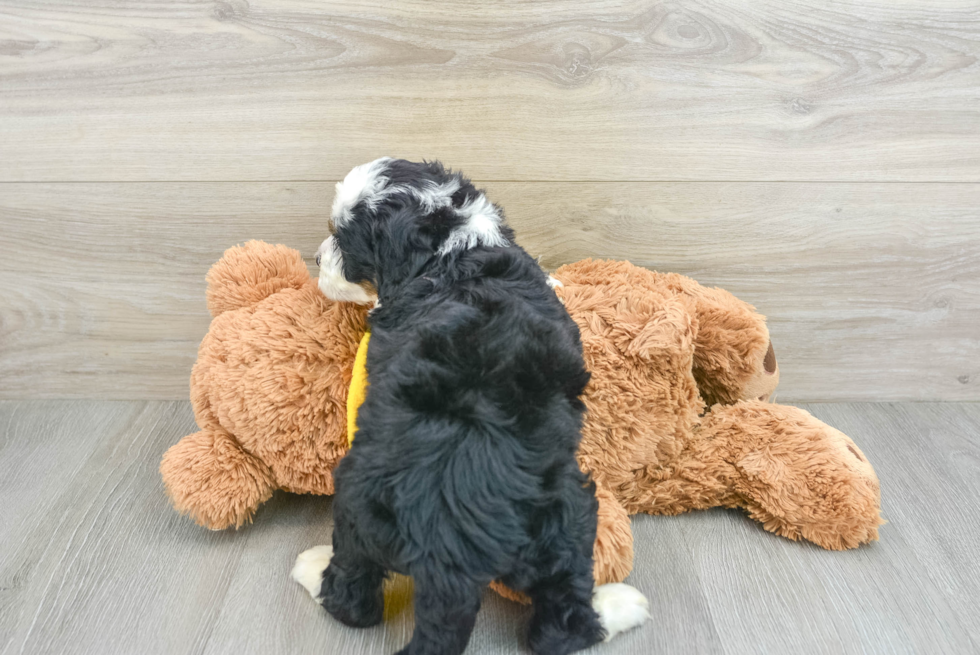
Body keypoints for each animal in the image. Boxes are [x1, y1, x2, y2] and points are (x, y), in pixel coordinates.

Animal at [290, 159, 652, 655]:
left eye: (344, 241)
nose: (317, 258)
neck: (451, 248)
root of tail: (445, 542)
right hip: (567, 515)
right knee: (560, 624)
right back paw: (621, 606)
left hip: (361, 505)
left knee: (353, 596)